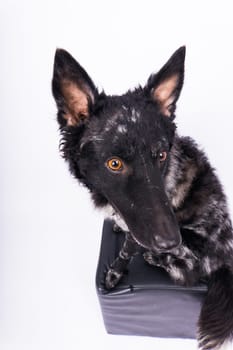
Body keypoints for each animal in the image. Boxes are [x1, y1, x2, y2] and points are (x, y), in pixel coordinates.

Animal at [52, 47, 233, 350]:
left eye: (161, 155)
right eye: (114, 163)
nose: (170, 240)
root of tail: (226, 262)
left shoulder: (142, 234)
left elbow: (126, 252)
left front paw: (114, 273)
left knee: (188, 268)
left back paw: (157, 258)